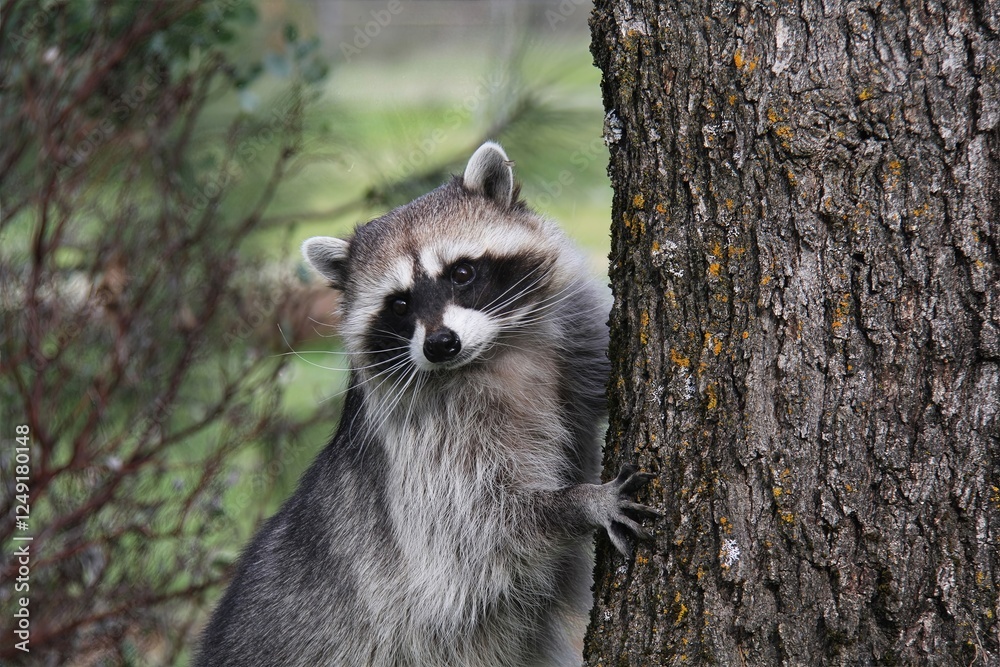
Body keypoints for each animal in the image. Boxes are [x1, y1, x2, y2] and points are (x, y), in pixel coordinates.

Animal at [195, 142, 656, 667]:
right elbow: (481, 526)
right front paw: (580, 503)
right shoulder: (424, 449)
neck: (490, 355)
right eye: (399, 304)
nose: (440, 344)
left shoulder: (568, 331)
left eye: (462, 272)